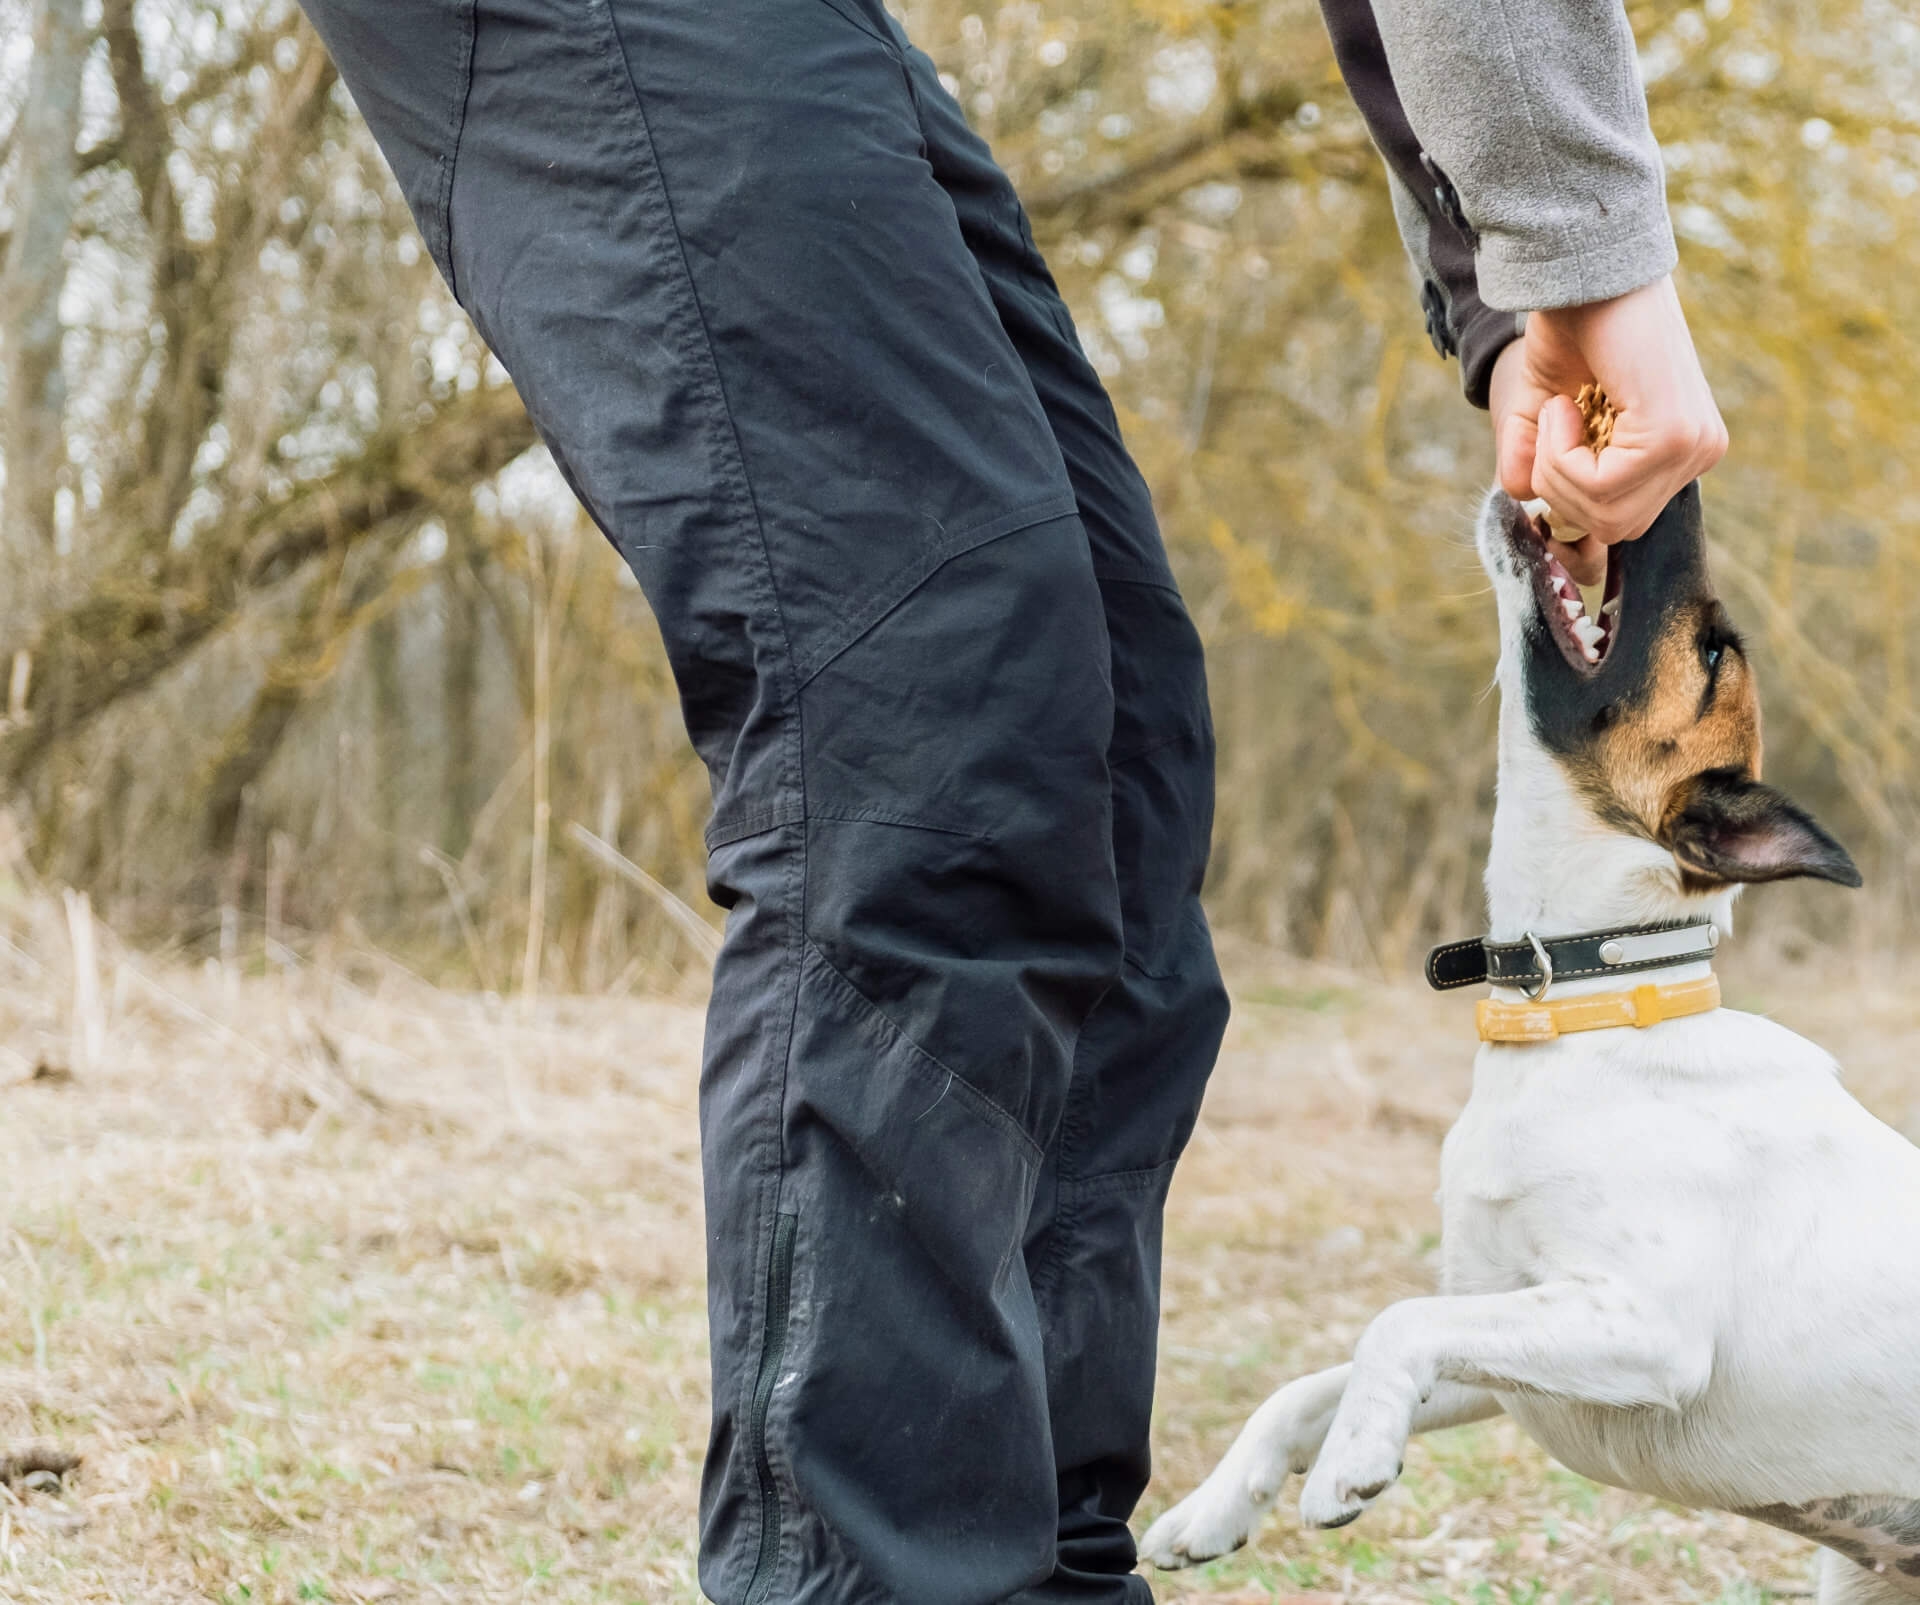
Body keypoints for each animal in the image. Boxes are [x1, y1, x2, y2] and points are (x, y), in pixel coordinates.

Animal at [1136, 481, 1920, 1597]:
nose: (1678, 489)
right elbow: (1316, 1380)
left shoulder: (1643, 1329)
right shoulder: (1510, 1344)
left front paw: (1349, 1464)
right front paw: (1213, 1509)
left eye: (1713, 652)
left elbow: (1393, 1323)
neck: (1580, 1009)